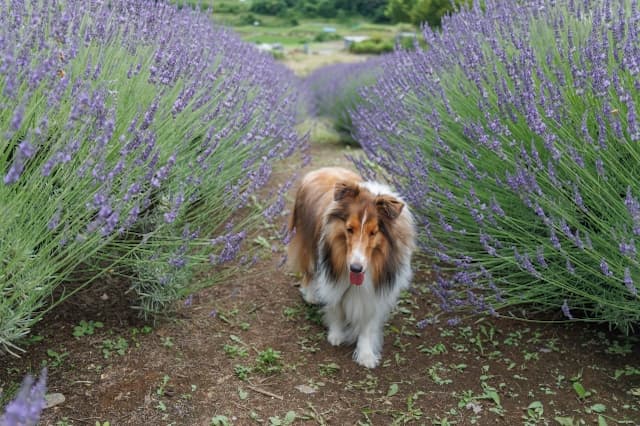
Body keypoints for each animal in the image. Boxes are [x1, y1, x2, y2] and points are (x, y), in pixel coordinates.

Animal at [288, 168, 418, 368]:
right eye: (349, 229)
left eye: (373, 232)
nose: (356, 268)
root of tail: (323, 168)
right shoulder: (332, 276)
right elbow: (335, 306)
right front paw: (335, 335)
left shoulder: (375, 293)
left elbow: (367, 325)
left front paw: (366, 354)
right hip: (308, 242)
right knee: (309, 270)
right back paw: (310, 295)